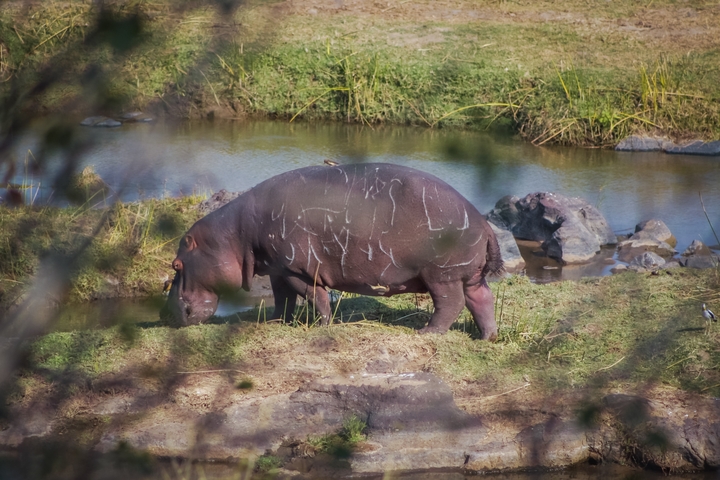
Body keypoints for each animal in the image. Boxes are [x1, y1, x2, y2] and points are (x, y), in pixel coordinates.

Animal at [162, 163, 503, 340]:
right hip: (470, 276)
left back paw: (427, 332)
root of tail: (483, 223)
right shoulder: (277, 268)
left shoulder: (297, 269)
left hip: (441, 276)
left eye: (176, 265)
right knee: (482, 300)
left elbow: (315, 295)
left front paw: (322, 325)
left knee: (450, 304)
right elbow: (282, 298)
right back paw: (486, 337)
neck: (234, 236)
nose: (169, 313)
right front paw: (276, 322)